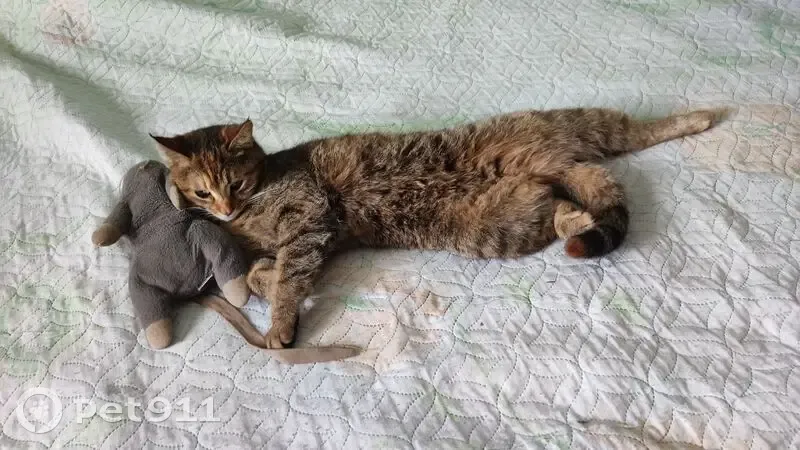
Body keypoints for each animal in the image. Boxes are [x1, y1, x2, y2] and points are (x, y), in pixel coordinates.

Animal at [151, 107, 718, 348]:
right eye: (202, 192)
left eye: (235, 183)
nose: (224, 208)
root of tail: (552, 161)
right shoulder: (314, 239)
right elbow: (256, 273)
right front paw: (265, 279)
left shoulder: (311, 218)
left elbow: (288, 277)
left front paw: (280, 320)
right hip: (504, 220)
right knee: (559, 201)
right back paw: (573, 215)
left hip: (578, 123)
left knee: (639, 131)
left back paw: (698, 118)